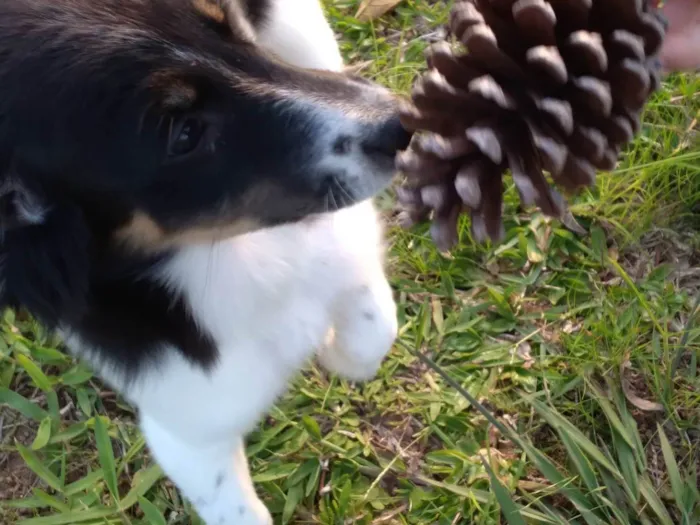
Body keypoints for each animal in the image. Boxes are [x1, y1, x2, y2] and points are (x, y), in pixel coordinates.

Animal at [0, 2, 412, 520]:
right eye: (185, 134)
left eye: (228, 25)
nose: (401, 122)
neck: (221, 249)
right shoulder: (189, 424)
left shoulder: (337, 234)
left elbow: (371, 316)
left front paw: (339, 355)